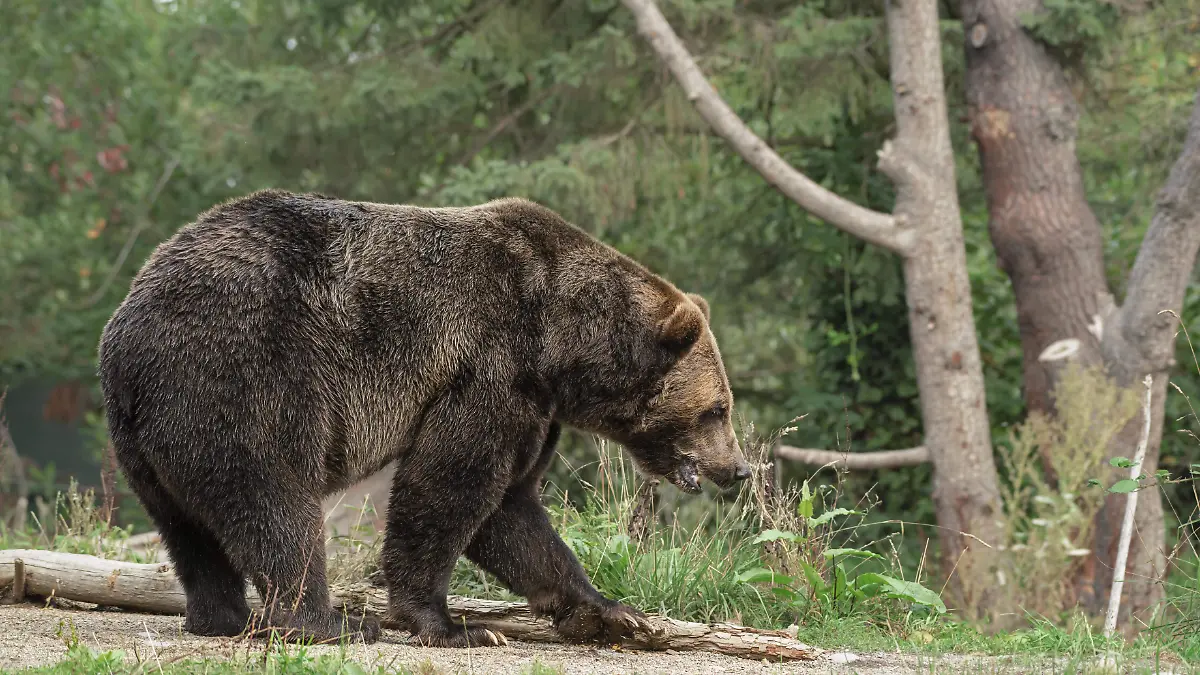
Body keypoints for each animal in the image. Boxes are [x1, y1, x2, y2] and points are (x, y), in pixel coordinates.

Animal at [97, 189, 750, 648]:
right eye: (718, 409)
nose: (738, 469)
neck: (560, 344)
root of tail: (129, 332)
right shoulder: (490, 366)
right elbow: (449, 486)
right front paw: (449, 623)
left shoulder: (534, 406)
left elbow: (511, 510)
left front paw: (613, 612)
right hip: (244, 374)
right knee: (273, 501)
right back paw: (326, 622)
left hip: (144, 436)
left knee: (187, 527)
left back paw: (220, 616)